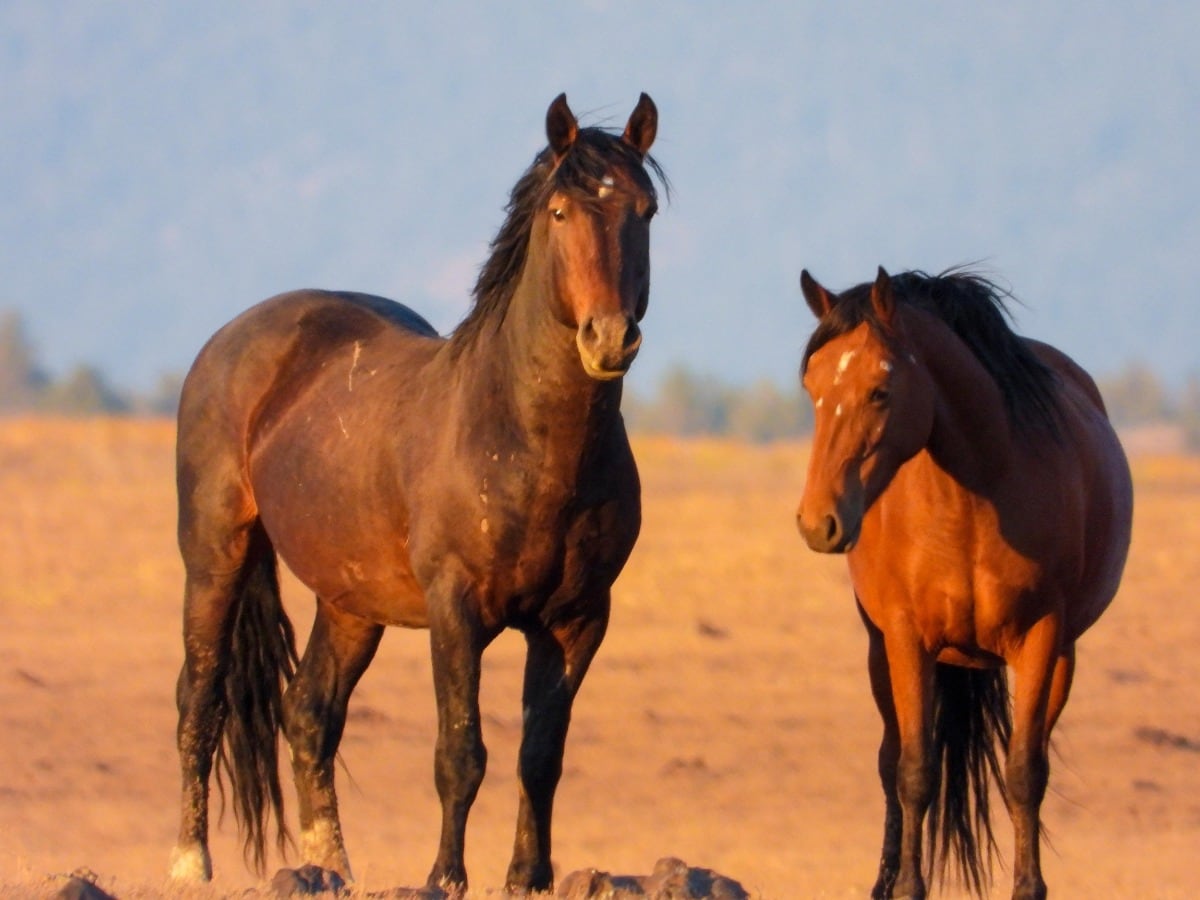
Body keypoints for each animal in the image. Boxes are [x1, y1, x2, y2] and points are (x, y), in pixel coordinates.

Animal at [169, 93, 667, 897]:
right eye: (560, 212)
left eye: (645, 211)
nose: (610, 338)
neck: (526, 440)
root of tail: (235, 336)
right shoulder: (455, 610)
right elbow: (460, 754)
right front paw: (445, 875)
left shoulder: (576, 621)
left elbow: (540, 757)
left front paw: (528, 876)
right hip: (216, 557)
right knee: (201, 697)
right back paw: (189, 861)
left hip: (349, 602)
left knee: (308, 714)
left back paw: (331, 867)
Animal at [796, 267, 1132, 900]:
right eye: (811, 388)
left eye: (880, 390)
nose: (817, 522)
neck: (972, 502)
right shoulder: (907, 641)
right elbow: (914, 772)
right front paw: (907, 887)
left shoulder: (1040, 639)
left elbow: (1024, 772)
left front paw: (1028, 887)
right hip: (883, 653)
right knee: (891, 761)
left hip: (1061, 658)